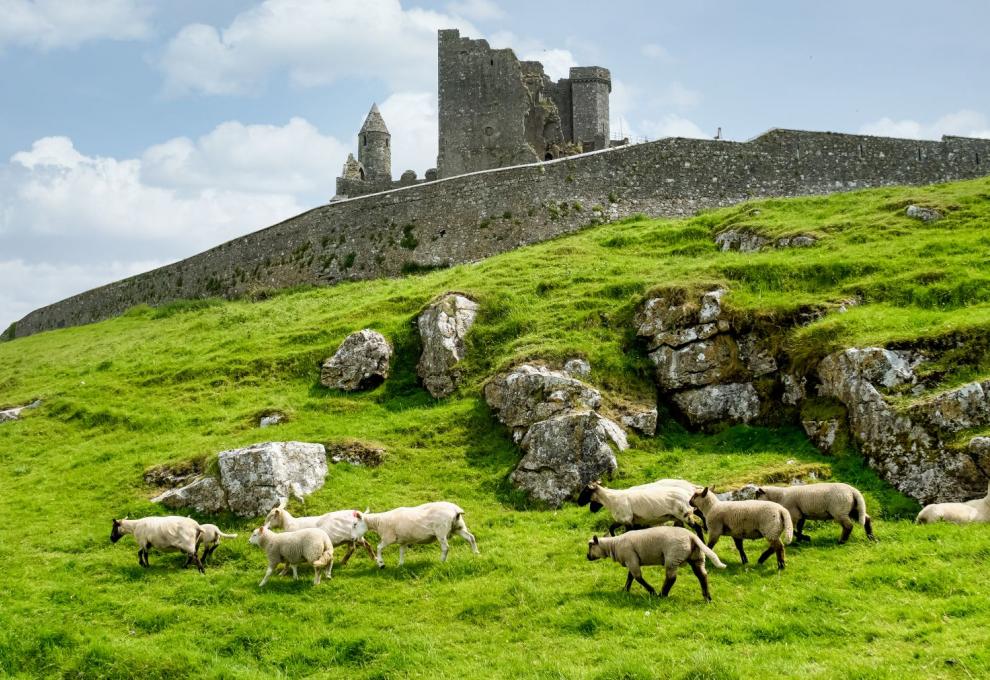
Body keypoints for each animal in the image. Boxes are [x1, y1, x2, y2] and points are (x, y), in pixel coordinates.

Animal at [572, 480, 704, 540]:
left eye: (585, 490)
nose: (579, 502)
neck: (611, 499)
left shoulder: (627, 520)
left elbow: (627, 533)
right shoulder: (623, 520)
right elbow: (611, 528)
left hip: (685, 514)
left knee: (698, 527)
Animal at [588, 524, 728, 600]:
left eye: (590, 545)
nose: (587, 557)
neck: (614, 545)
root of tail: (692, 536)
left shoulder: (631, 559)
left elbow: (637, 577)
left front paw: (652, 591)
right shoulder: (631, 560)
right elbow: (630, 577)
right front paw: (625, 590)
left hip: (672, 557)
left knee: (671, 578)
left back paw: (662, 595)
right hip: (696, 557)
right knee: (702, 575)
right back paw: (707, 597)